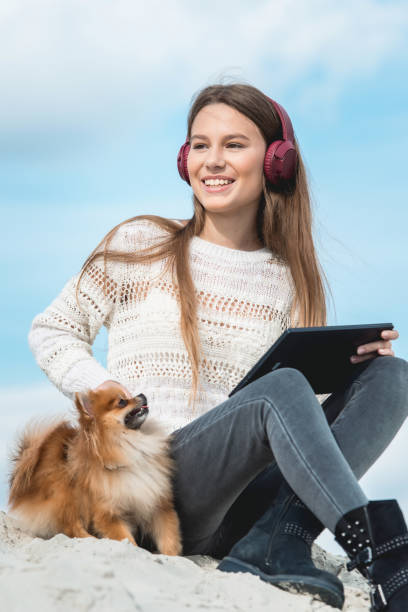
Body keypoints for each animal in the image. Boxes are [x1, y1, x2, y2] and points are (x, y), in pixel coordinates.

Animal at [7, 382, 182, 556]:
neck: (129, 444)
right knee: (71, 527)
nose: (142, 395)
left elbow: (169, 538)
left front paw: (171, 555)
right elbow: (126, 539)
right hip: (65, 493)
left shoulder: (157, 505)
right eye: (122, 402)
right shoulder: (108, 513)